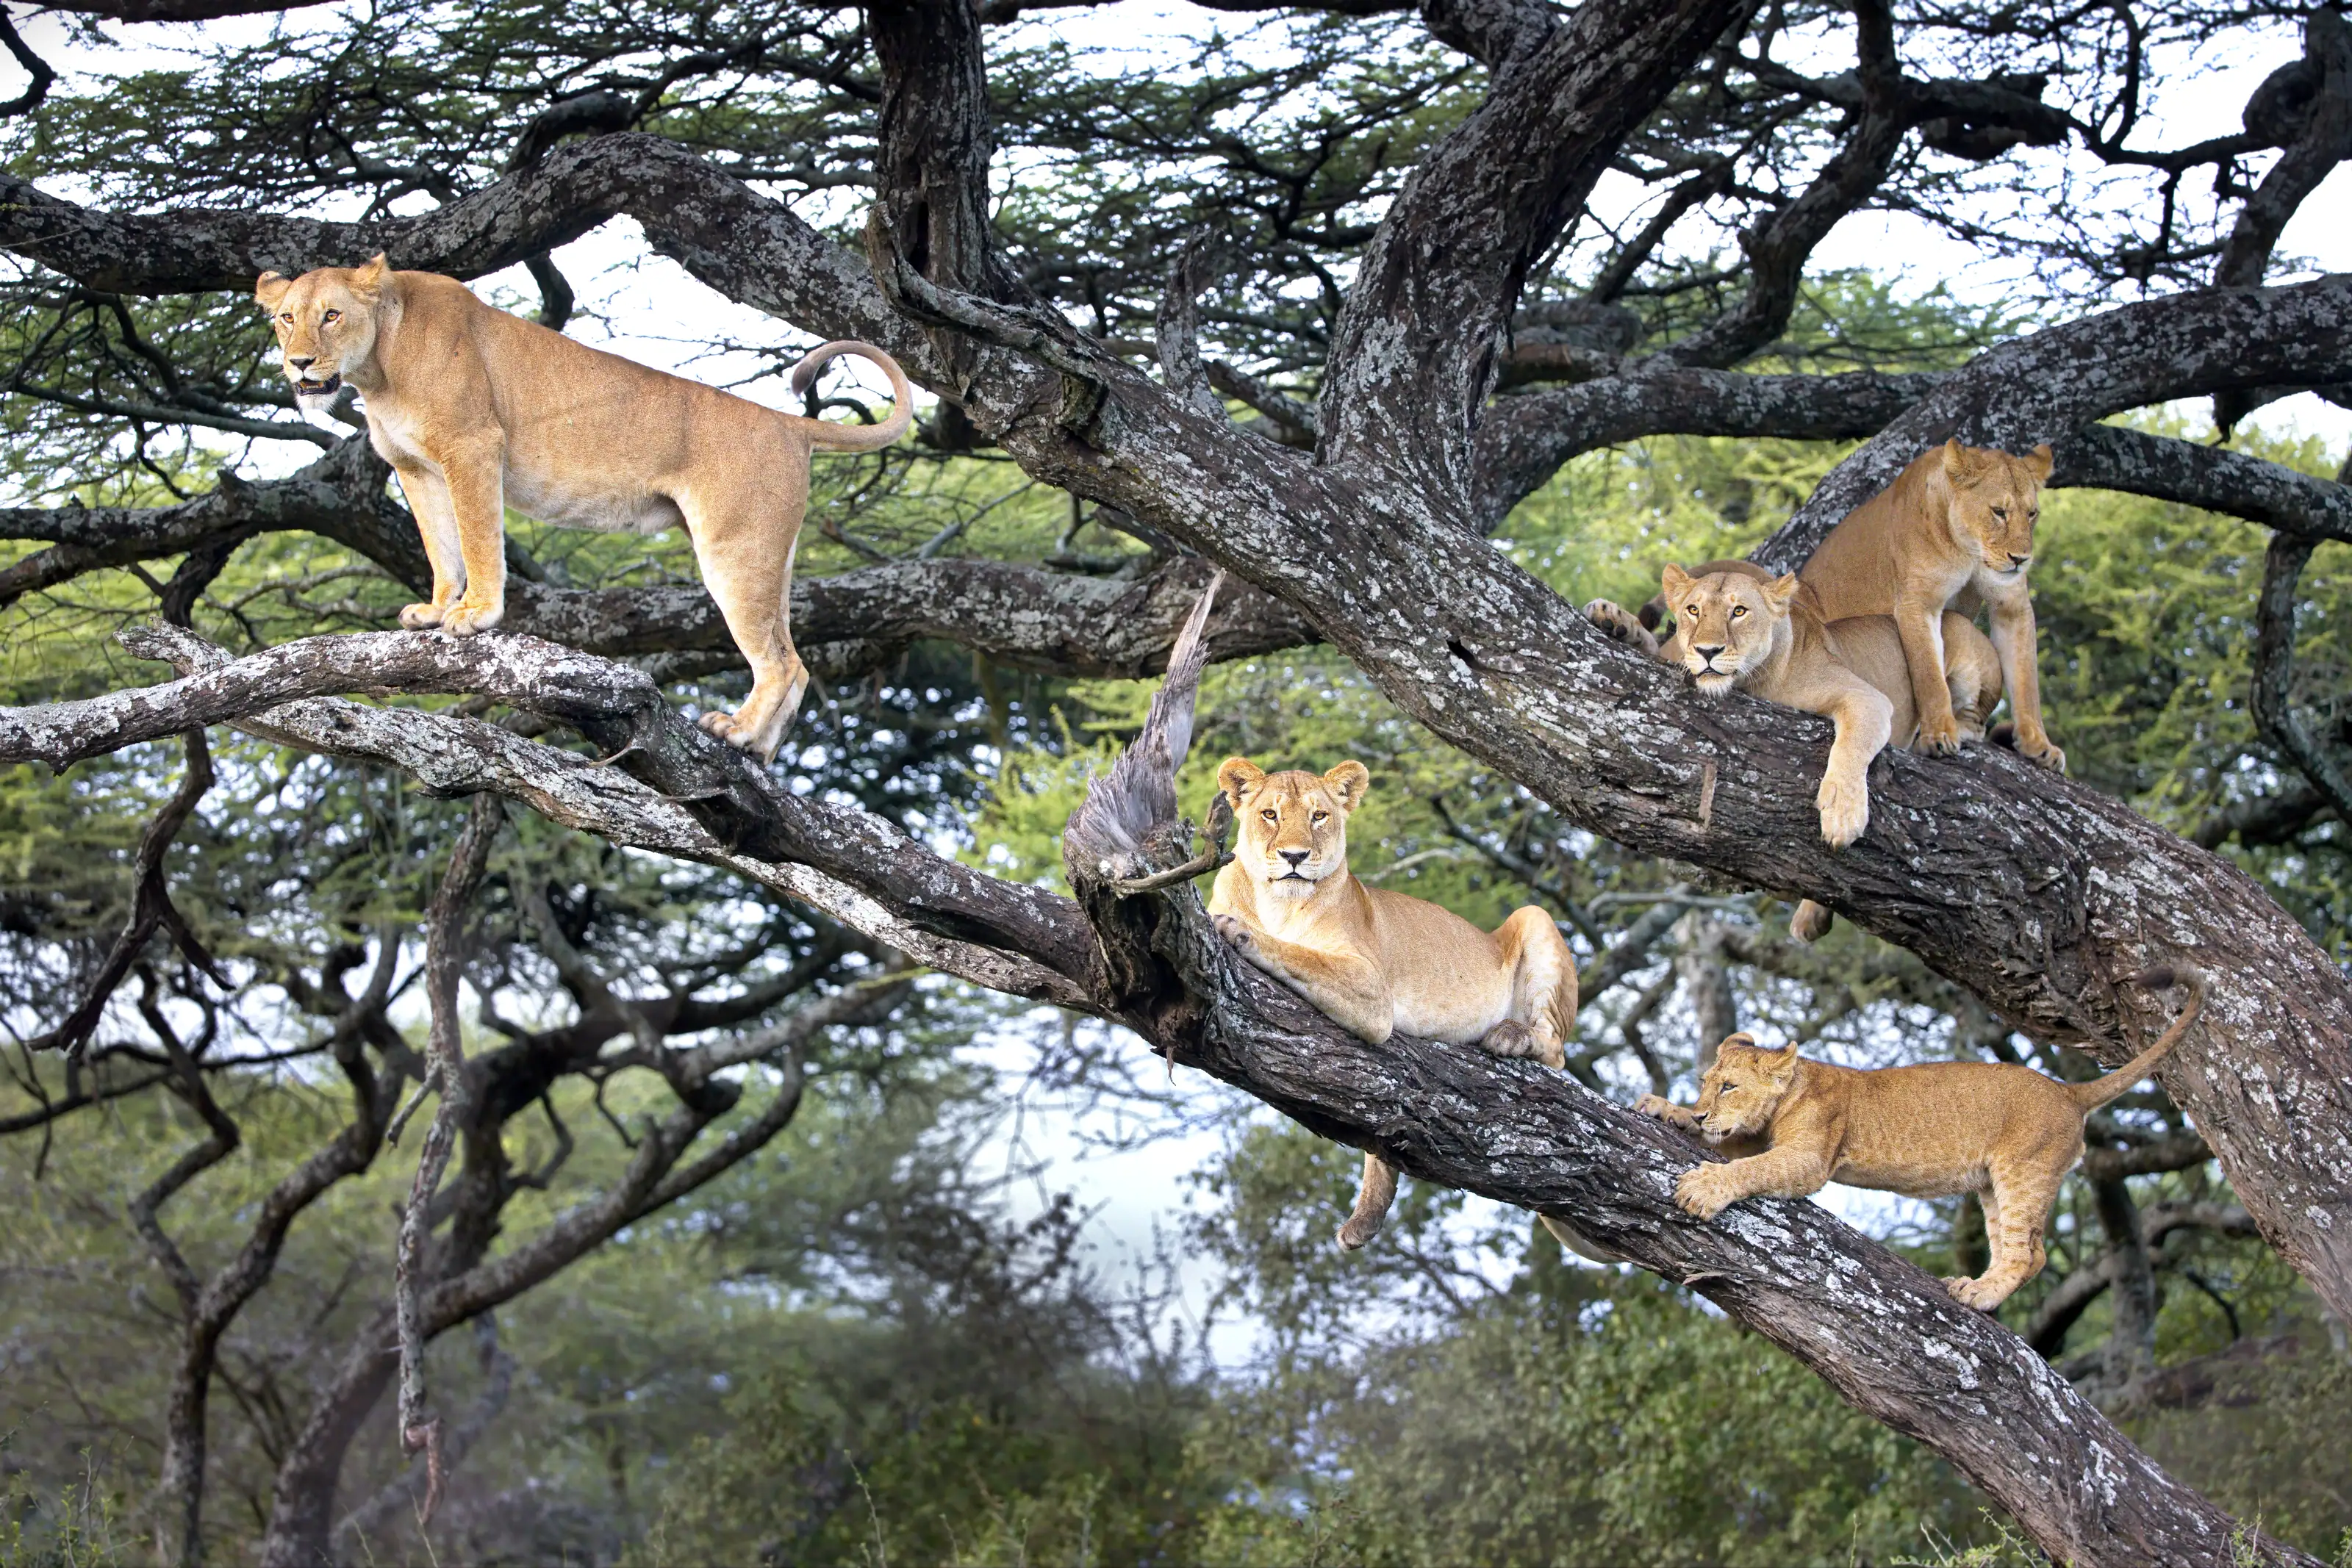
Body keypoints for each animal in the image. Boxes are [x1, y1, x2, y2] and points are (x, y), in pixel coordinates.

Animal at [254, 254, 911, 761]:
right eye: (287, 318)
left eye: (332, 315)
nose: (299, 363)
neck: (379, 367)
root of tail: (790, 423)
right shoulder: (416, 469)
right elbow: (441, 548)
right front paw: (436, 609)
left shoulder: (473, 445)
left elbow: (477, 538)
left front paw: (474, 615)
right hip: (772, 555)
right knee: (797, 660)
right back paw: (760, 750)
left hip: (734, 548)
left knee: (777, 662)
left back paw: (738, 732)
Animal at [1208, 757, 1578, 1250]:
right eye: (1270, 814)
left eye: (1319, 816)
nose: (1295, 857)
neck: (1277, 904)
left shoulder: (1371, 987)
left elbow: (1298, 953)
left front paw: (1238, 930)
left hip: (1533, 916)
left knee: (1555, 1051)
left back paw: (1510, 1036)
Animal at [1584, 559, 2000, 939]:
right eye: (1693, 610)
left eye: (1739, 611)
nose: (1706, 651)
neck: (1750, 683)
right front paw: (1615, 622)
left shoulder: (1866, 698)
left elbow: (1850, 748)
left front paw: (1842, 814)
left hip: (1961, 647)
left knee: (1976, 715)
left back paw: (1949, 737)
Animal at [1636, 965, 2204, 1311]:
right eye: (1705, 1083)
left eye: (1729, 1087)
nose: (1703, 1111)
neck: (1792, 1091)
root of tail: (2068, 1091)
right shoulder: (1759, 1138)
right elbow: (1729, 1148)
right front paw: (1667, 1110)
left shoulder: (1810, 1158)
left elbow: (1749, 1167)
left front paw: (1702, 1189)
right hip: (1991, 1185)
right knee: (2018, 1247)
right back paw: (1976, 1287)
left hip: (2024, 1171)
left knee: (2030, 1255)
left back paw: (1979, 1296)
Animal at [1800, 438, 2062, 772]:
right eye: (1998, 512)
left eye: (2031, 514)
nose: (2020, 559)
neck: (1970, 551)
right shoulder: (1918, 602)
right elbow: (1930, 676)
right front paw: (1938, 734)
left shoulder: (2012, 606)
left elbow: (2026, 681)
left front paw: (2039, 745)